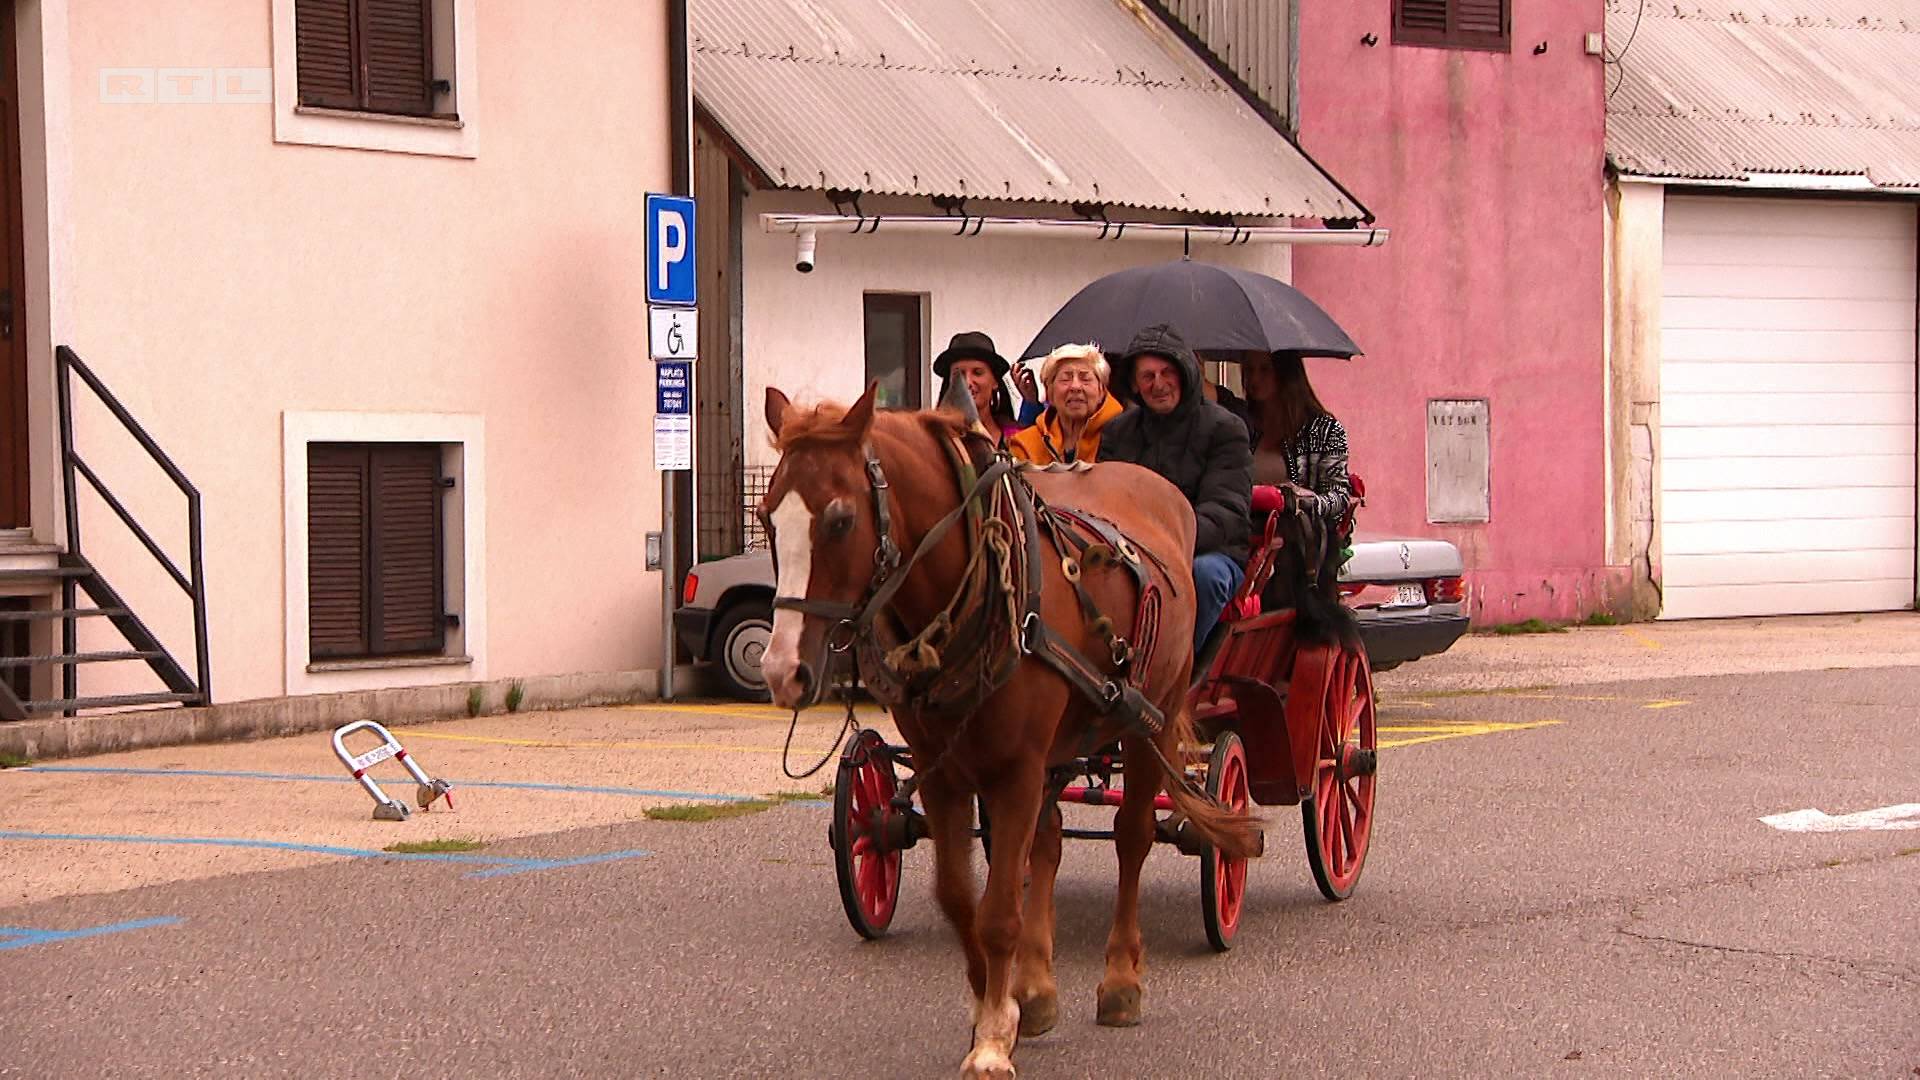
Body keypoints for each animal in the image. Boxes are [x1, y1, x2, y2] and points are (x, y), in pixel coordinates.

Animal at [756, 382, 1267, 1068]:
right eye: (767, 516)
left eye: (839, 519)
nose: (782, 670)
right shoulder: (945, 770)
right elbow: (960, 896)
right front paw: (994, 1008)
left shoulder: (1017, 768)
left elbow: (999, 910)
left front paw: (995, 1039)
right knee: (1047, 844)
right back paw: (1038, 986)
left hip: (1149, 723)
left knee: (1132, 838)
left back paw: (1121, 980)